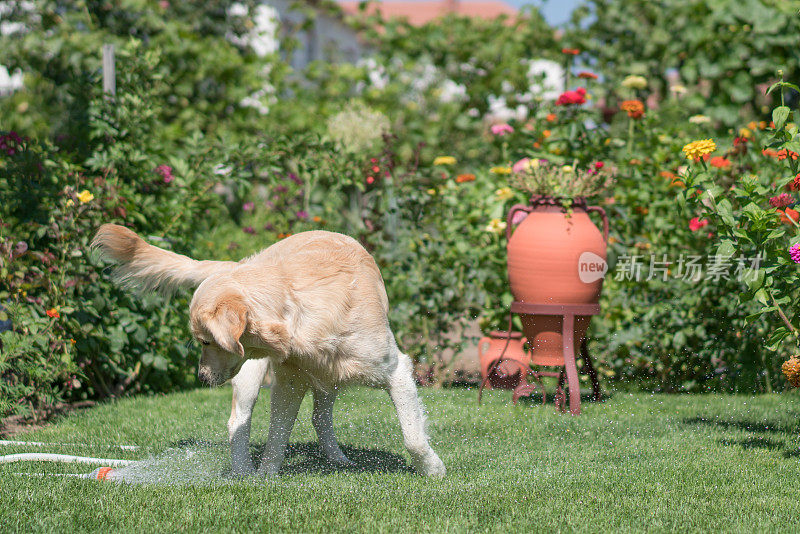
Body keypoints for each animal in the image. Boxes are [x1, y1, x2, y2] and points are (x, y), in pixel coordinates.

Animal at [94, 225, 446, 478]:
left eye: (206, 341)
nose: (202, 377)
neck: (296, 311)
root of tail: (245, 262)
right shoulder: (289, 382)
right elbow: (277, 435)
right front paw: (264, 476)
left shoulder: (395, 370)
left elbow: (413, 435)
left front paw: (431, 470)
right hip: (252, 372)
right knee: (238, 423)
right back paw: (243, 471)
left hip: (326, 376)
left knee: (320, 417)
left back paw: (337, 459)